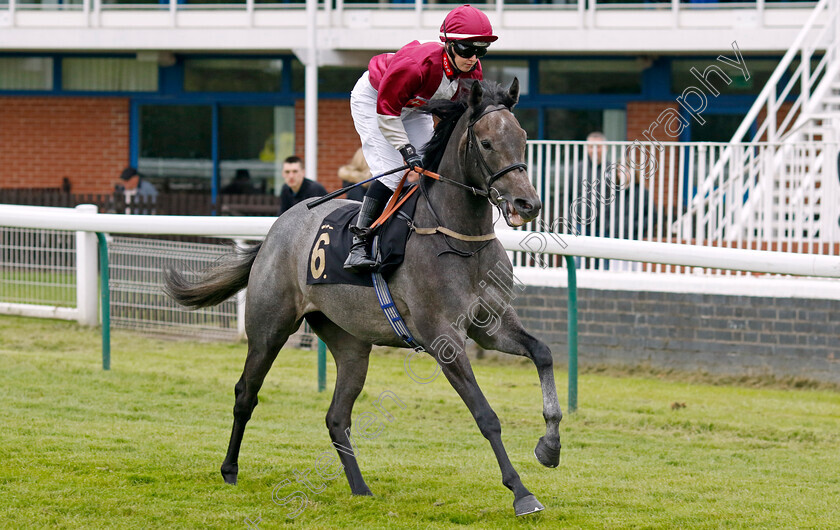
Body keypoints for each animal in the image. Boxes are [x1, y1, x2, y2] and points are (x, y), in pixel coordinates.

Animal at [162, 79, 560, 516]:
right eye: (487, 143)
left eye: (522, 138)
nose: (527, 203)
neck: (458, 240)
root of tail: (275, 229)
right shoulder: (444, 339)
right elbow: (486, 415)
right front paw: (522, 492)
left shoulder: (490, 325)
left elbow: (543, 353)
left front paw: (550, 446)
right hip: (270, 329)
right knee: (245, 394)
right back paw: (230, 469)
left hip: (350, 343)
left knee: (336, 416)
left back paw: (360, 488)